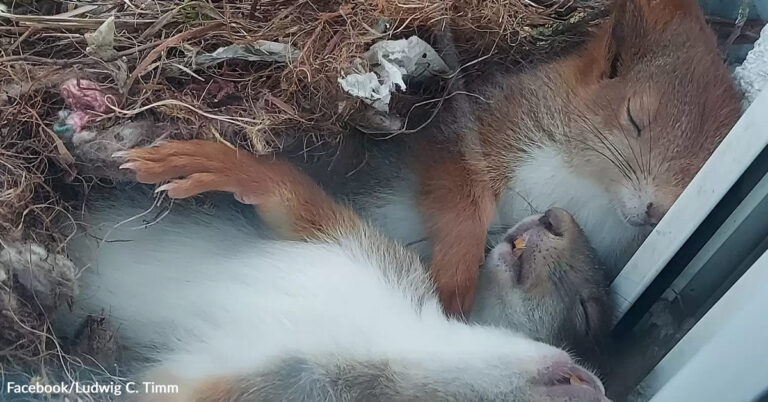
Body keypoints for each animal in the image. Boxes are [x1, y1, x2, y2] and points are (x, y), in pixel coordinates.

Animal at [60, 140, 612, 401]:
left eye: (588, 315)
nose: (557, 218)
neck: (393, 336)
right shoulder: (361, 249)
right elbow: (292, 201)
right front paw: (217, 164)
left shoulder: (258, 384)